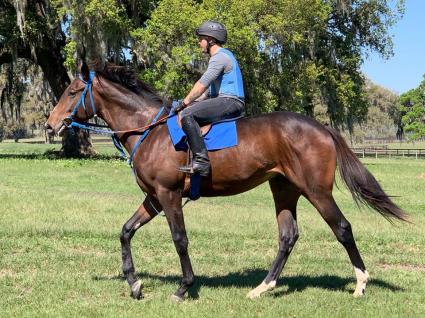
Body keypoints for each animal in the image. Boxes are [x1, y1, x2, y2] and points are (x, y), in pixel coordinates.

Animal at [44, 62, 406, 304]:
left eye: (73, 92)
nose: (50, 124)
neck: (149, 130)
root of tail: (321, 128)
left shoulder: (168, 195)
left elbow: (180, 240)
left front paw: (183, 287)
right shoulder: (154, 198)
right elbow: (125, 231)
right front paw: (134, 283)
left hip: (316, 191)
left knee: (342, 228)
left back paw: (360, 283)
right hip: (284, 189)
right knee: (288, 236)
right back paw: (263, 287)